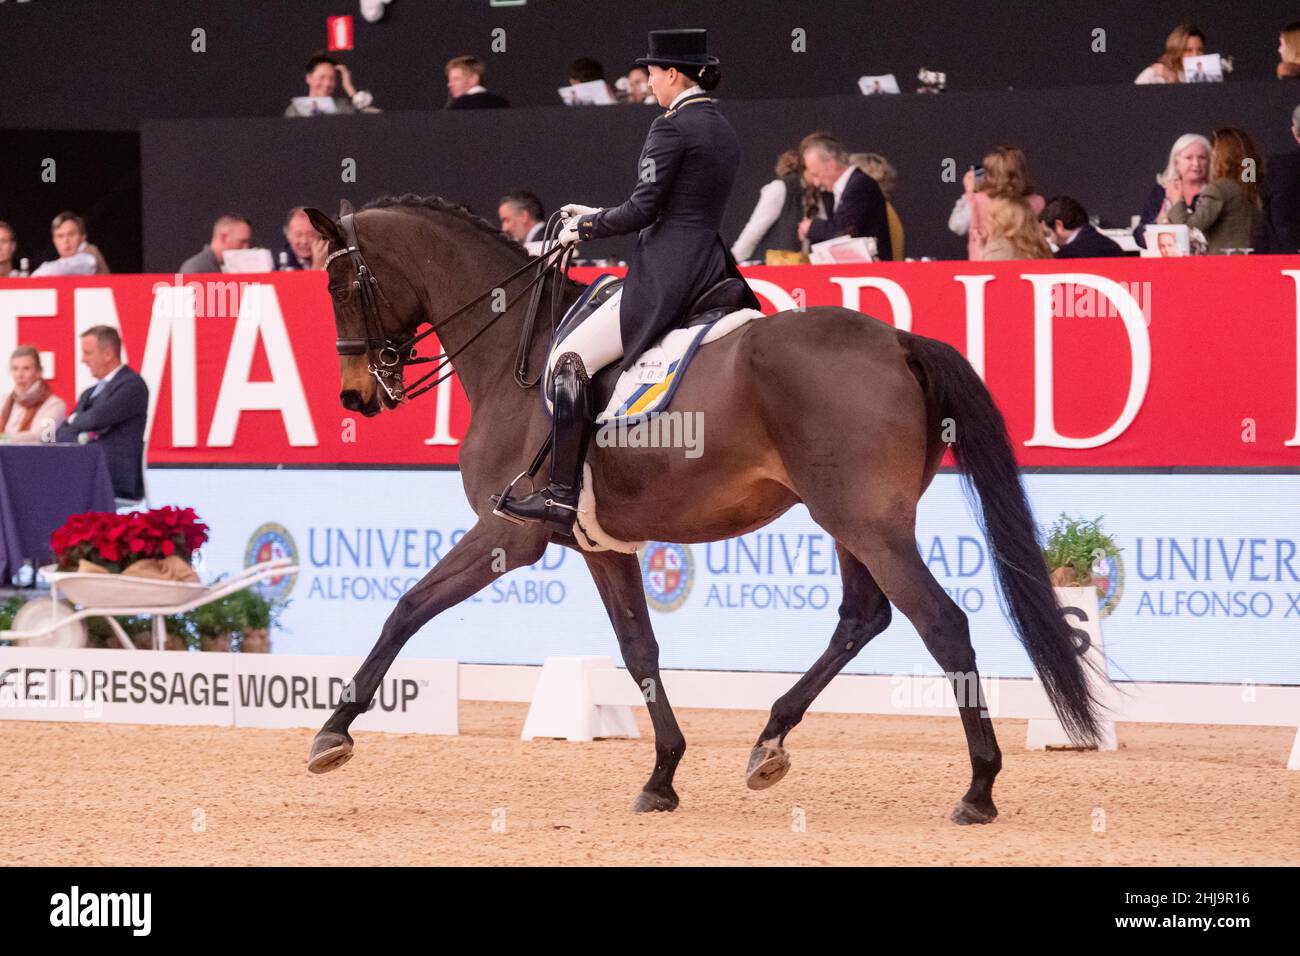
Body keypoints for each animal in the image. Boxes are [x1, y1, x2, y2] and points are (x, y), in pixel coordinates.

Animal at [306, 195, 1107, 822]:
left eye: (341, 282)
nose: (356, 395)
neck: (516, 356)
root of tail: (899, 339)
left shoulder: (508, 534)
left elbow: (408, 607)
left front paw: (333, 731)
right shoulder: (601, 546)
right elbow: (640, 650)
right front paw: (662, 775)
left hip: (868, 524)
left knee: (941, 623)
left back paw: (978, 789)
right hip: (851, 521)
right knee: (862, 618)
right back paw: (770, 741)